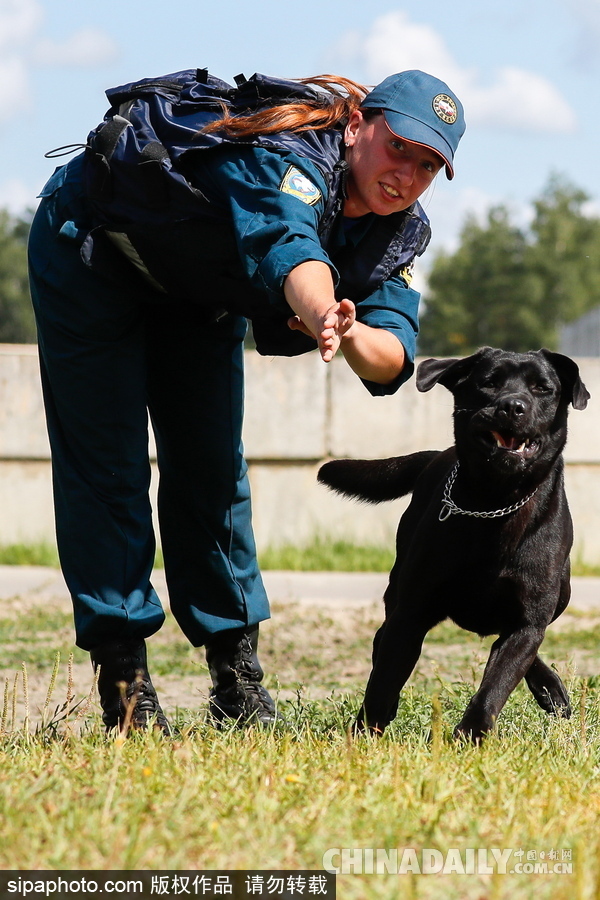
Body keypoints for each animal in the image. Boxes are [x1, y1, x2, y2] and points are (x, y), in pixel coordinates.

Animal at [318, 348, 592, 740]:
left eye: (542, 388)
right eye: (489, 382)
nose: (513, 406)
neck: (494, 503)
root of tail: (436, 453)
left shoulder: (527, 622)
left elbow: (496, 684)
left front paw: (471, 735)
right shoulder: (412, 611)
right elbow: (384, 680)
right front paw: (365, 734)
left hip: (562, 593)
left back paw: (549, 689)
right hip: (398, 588)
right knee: (383, 640)